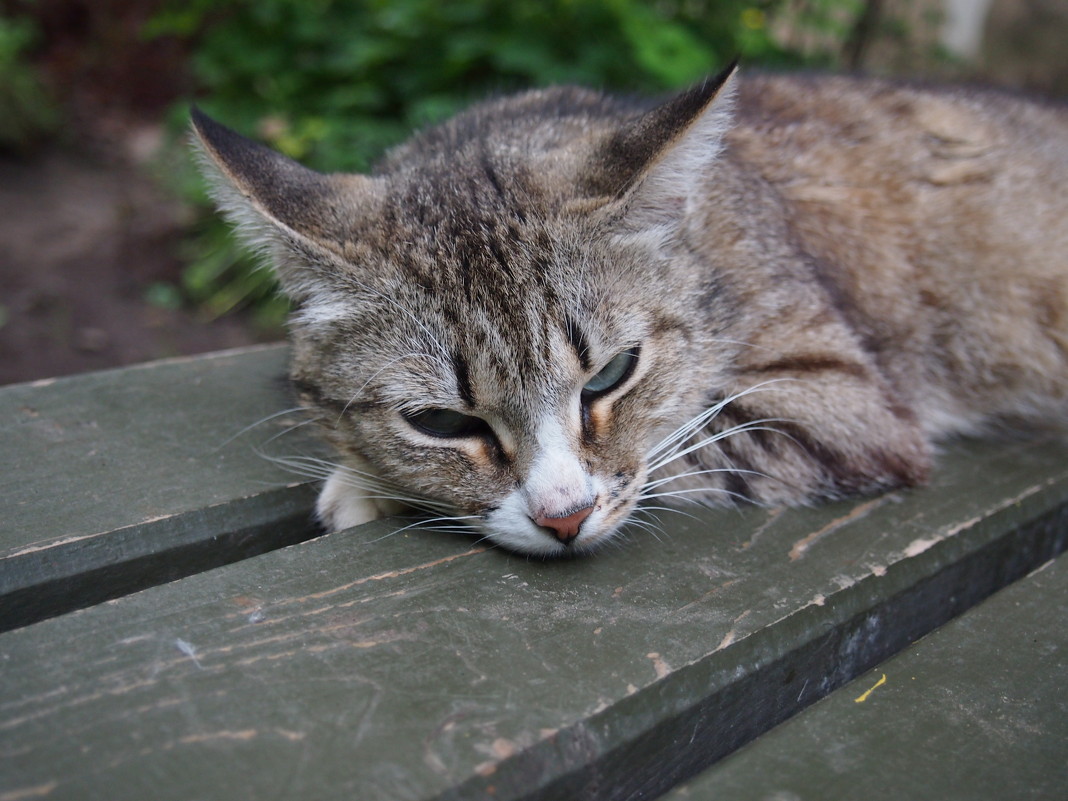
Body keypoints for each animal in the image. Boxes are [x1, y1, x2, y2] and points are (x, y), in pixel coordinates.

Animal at [192, 64, 1068, 559]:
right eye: (442, 420)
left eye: (611, 373)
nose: (564, 520)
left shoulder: (843, 403)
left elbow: (691, 441)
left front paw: (365, 487)